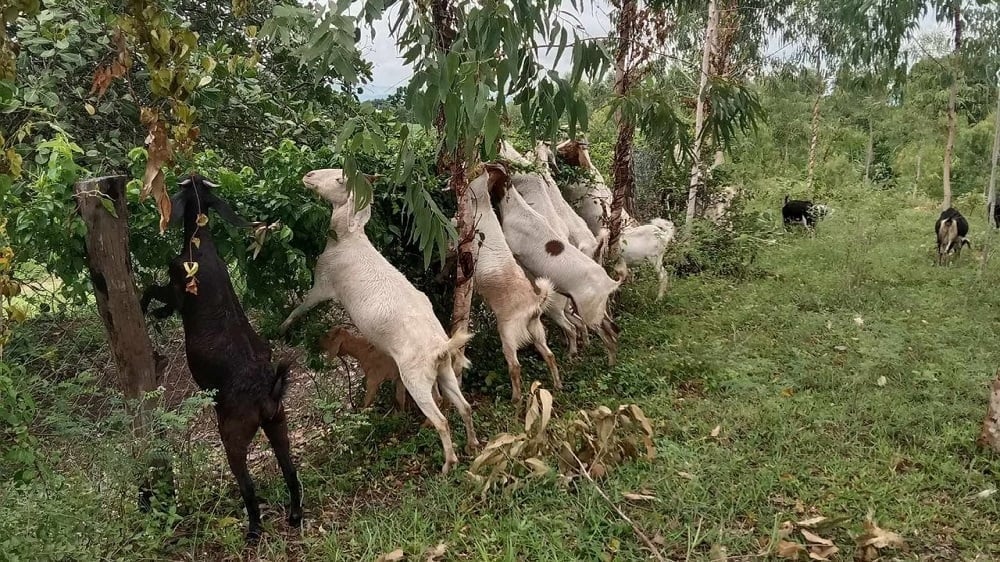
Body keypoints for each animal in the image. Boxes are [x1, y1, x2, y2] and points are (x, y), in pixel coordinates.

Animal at [140, 175, 301, 542]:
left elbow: (152, 291)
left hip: (233, 435)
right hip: (278, 423)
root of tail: (267, 392)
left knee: (248, 486)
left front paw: (146, 309)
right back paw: (295, 515)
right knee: (290, 470)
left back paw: (254, 529)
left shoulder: (176, 288)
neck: (201, 247)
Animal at [279, 169, 478, 473]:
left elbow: (299, 309)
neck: (348, 239)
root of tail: (440, 349)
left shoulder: (323, 285)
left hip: (415, 377)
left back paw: (448, 463)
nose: (308, 176)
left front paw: (282, 328)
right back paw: (472, 445)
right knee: (463, 406)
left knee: (441, 420)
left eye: (340, 179)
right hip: (443, 372)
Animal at [469, 163, 561, 402]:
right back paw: (557, 385)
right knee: (549, 354)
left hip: (508, 333)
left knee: (515, 366)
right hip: (537, 330)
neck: (483, 207)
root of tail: (535, 302)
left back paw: (516, 399)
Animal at [490, 164, 621, 365]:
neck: (517, 208)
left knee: (603, 335)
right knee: (610, 329)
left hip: (588, 314)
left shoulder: (513, 247)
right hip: (595, 310)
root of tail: (609, 283)